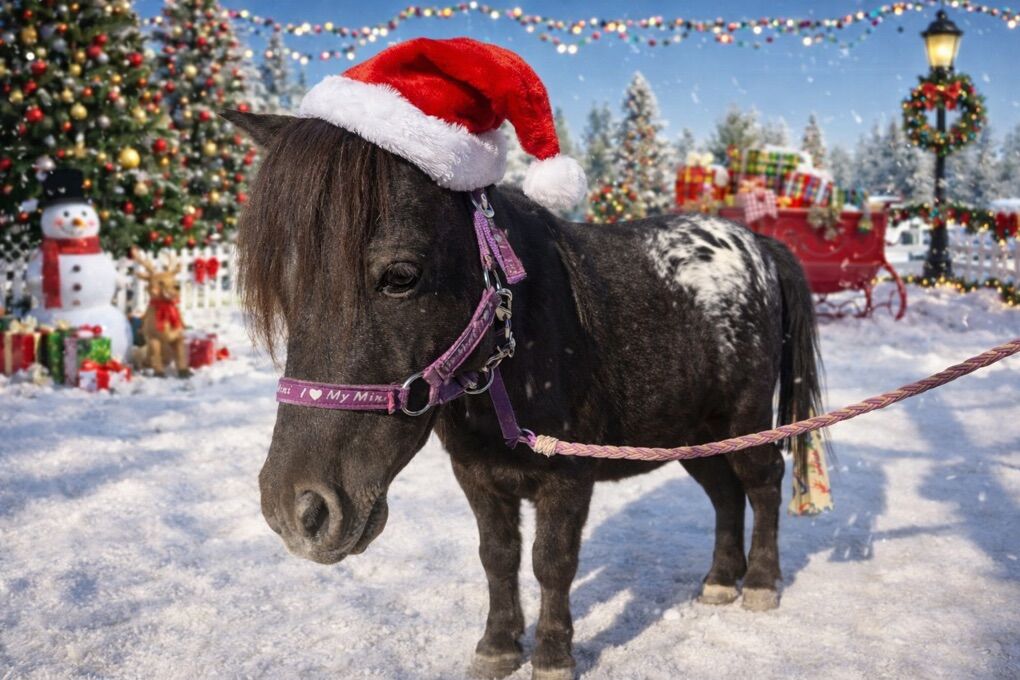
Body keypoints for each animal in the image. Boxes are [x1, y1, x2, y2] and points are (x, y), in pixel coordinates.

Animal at [224, 110, 823, 680]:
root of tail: (757, 246)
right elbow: (498, 557)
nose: (297, 510)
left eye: (400, 275)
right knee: (724, 493)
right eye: (283, 281)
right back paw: (720, 580)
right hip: (693, 435)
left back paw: (761, 583)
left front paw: (553, 655)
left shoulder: (569, 475)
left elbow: (552, 561)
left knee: (762, 484)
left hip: (744, 420)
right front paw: (497, 647)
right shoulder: (478, 476)